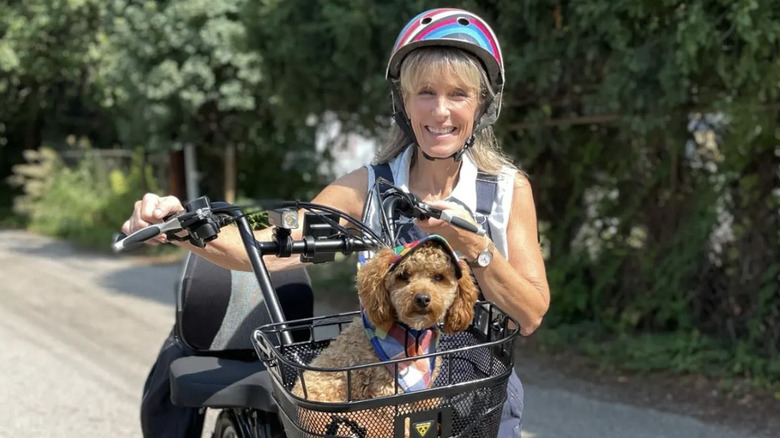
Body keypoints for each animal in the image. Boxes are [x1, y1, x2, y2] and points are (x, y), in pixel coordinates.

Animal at [290, 240, 478, 438]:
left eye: (438, 277)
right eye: (403, 275)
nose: (422, 298)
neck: (412, 337)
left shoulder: (426, 391)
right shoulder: (387, 394)